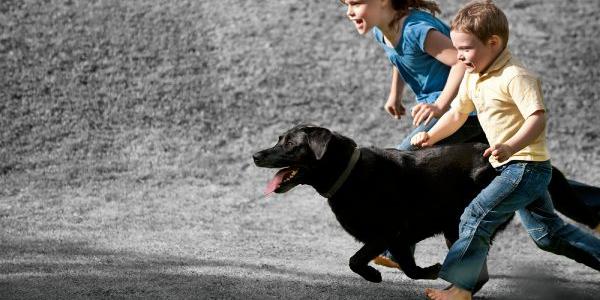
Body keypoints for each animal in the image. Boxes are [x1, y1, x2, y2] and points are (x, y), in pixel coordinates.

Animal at [252, 125, 572, 288]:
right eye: (279, 139)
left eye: (290, 144)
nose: (255, 155)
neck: (349, 173)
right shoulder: (399, 239)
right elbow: (409, 268)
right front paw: (428, 271)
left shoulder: (386, 232)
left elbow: (355, 260)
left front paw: (373, 274)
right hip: (454, 228)